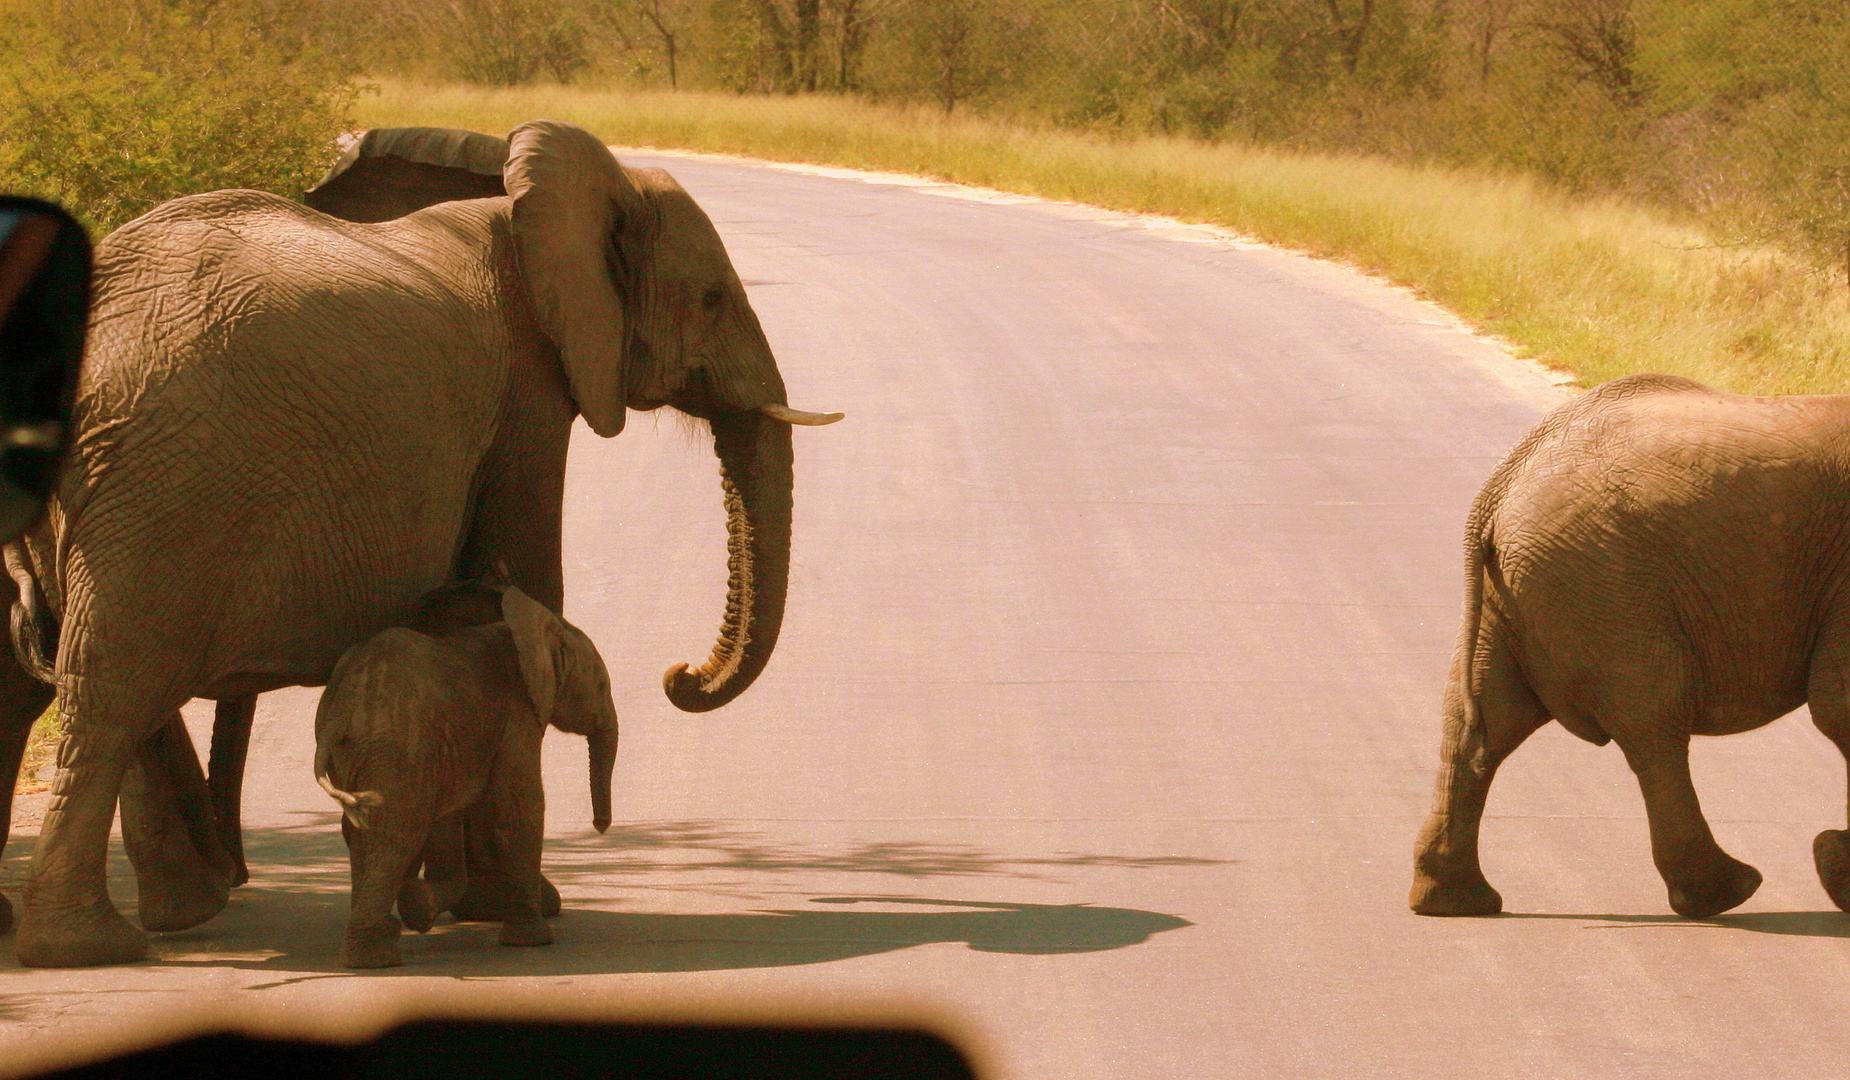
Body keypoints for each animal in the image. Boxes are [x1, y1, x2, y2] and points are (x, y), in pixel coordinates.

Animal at [310, 580, 614, 969]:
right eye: (602, 687)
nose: (600, 826)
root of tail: (341, 709)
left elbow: (452, 814)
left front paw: (419, 909)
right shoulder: (517, 714)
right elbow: (519, 807)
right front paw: (532, 941)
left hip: (361, 750)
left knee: (361, 829)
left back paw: (381, 939)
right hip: (397, 741)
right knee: (398, 828)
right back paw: (373, 958)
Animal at [1413, 373, 1850, 920]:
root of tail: (1499, 489)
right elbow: (1838, 706)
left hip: (1520, 593)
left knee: (1482, 720)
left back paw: (1454, 902)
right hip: (1603, 582)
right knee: (1654, 723)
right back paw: (1725, 892)